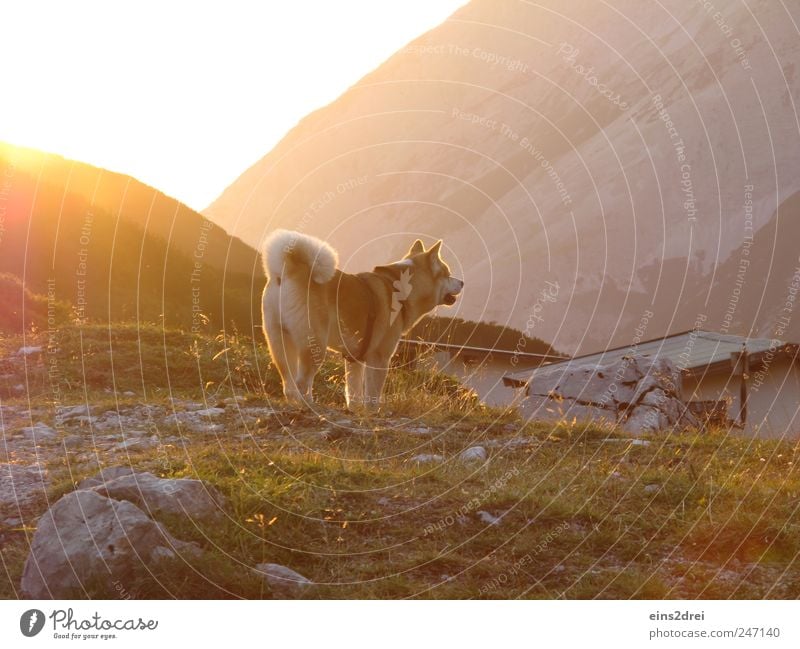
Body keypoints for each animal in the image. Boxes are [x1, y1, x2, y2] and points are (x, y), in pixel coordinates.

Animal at [262, 230, 462, 408]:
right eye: (447, 273)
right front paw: (372, 414)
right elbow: (372, 394)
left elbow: (354, 392)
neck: (401, 291)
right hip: (314, 345)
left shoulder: (354, 359)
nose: (462, 282)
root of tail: (291, 268)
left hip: (279, 342)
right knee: (302, 382)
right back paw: (309, 405)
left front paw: (355, 411)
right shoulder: (380, 357)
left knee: (289, 384)